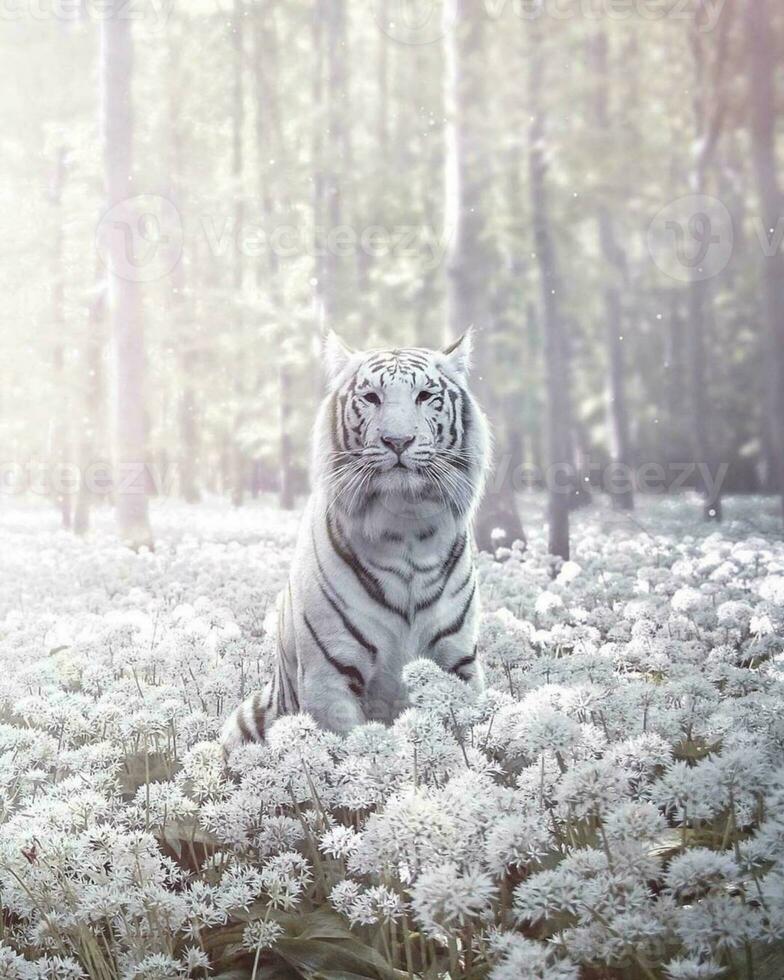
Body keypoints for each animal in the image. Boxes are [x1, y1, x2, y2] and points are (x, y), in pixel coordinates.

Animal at [220, 334, 490, 756]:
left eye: (425, 396)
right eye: (371, 397)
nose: (398, 441)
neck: (406, 532)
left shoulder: (457, 662)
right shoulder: (329, 676)